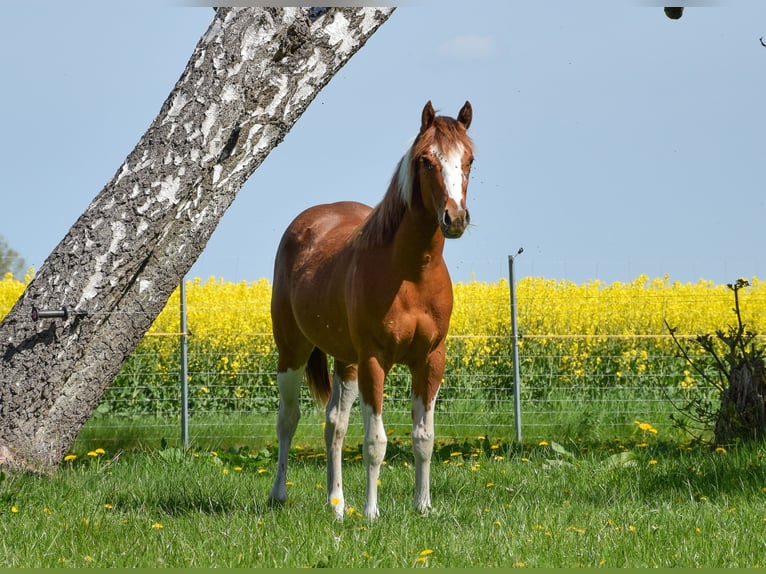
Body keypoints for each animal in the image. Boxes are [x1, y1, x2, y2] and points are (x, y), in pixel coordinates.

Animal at [268, 100, 474, 519]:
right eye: (427, 160)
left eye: (470, 160)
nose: (455, 218)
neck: (411, 272)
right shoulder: (375, 361)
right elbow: (375, 442)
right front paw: (371, 512)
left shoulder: (430, 360)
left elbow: (424, 438)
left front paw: (423, 506)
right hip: (293, 352)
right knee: (288, 419)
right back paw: (280, 495)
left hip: (346, 361)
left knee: (334, 424)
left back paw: (336, 504)